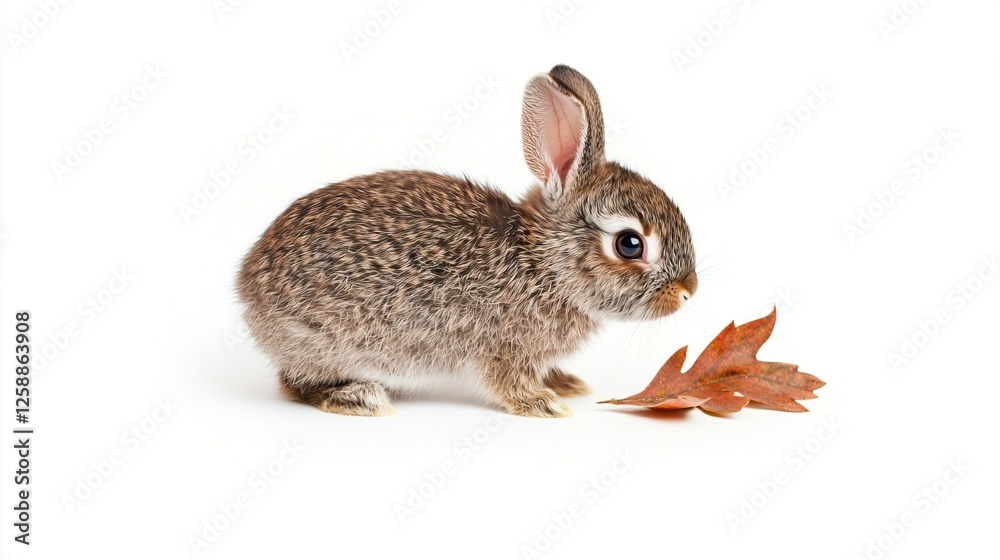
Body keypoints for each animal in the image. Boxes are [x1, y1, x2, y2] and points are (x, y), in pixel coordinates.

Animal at [236, 65, 698, 418]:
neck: (543, 265)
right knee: (293, 383)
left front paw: (564, 384)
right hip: (324, 343)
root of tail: (247, 284)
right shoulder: (502, 348)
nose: (688, 291)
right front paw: (543, 404)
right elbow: (508, 383)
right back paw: (359, 397)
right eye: (630, 245)